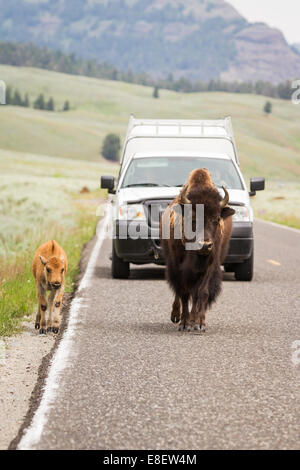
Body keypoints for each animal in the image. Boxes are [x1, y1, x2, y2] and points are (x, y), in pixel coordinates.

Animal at [161, 168, 236, 330]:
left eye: (217, 219)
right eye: (193, 219)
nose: (205, 245)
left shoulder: (209, 267)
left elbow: (202, 292)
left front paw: (199, 323)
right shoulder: (178, 267)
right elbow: (183, 293)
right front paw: (183, 324)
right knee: (179, 292)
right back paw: (176, 316)